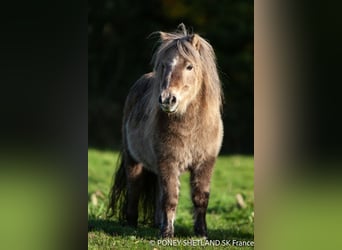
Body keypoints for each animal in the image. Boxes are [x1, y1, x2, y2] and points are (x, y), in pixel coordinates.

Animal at [107, 23, 224, 238]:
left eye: (189, 66)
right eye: (163, 65)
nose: (167, 99)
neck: (192, 127)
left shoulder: (205, 163)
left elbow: (200, 197)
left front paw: (201, 232)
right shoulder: (168, 161)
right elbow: (170, 198)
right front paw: (168, 234)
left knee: (157, 193)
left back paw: (157, 224)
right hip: (134, 160)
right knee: (134, 188)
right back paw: (131, 224)